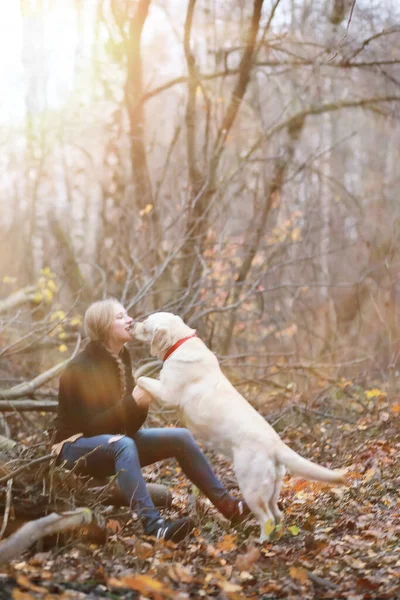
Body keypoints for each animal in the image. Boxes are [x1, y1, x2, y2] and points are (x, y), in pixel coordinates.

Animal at [133, 312, 346, 540]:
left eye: (145, 324)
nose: (132, 324)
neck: (180, 341)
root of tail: (276, 445)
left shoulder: (167, 394)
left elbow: (142, 379)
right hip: (271, 489)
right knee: (277, 514)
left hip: (250, 486)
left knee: (267, 518)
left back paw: (260, 541)